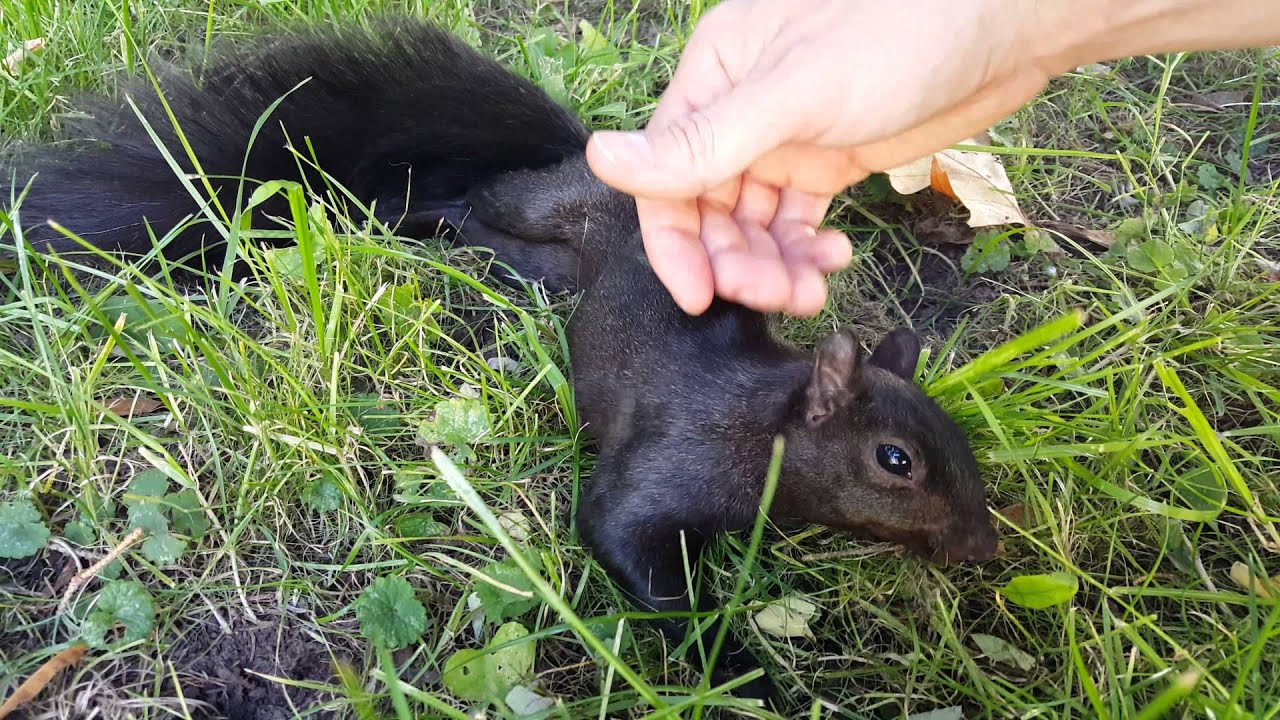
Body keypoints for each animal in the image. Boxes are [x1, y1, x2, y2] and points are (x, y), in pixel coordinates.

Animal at [1, 19, 999, 702]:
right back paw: (415, 214)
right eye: (896, 461)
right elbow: (621, 536)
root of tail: (585, 161)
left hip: (551, 266)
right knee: (483, 197)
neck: (768, 424)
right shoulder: (673, 458)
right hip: (543, 210)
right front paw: (736, 670)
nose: (988, 549)